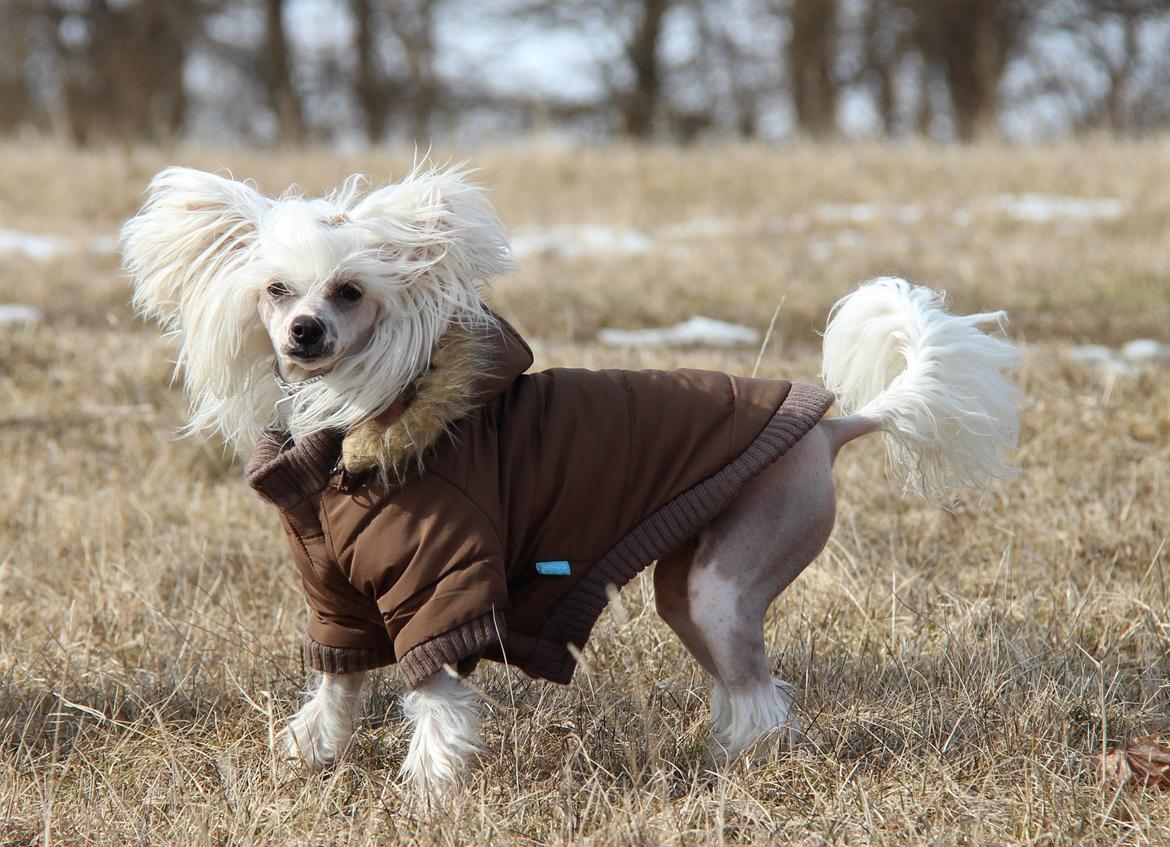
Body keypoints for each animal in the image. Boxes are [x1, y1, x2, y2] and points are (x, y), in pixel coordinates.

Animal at [116, 163, 1015, 795]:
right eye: (275, 289)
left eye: (349, 291)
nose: (305, 330)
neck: (349, 440)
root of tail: (830, 426)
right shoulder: (337, 590)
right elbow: (338, 679)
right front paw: (310, 749)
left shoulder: (442, 585)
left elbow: (433, 690)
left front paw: (431, 786)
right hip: (689, 587)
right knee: (741, 682)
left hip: (725, 583)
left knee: (762, 693)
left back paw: (752, 761)